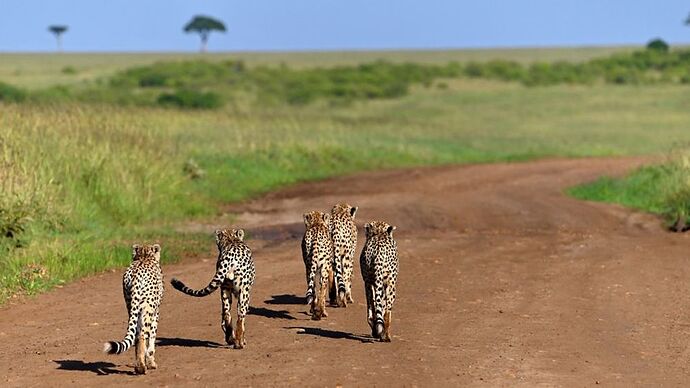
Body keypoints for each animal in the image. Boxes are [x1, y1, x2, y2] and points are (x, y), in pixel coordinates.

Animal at [103, 244, 163, 374]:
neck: (144, 256)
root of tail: (135, 274)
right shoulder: (156, 312)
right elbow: (152, 338)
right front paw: (151, 363)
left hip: (131, 306)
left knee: (136, 334)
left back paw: (138, 365)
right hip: (147, 308)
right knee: (141, 335)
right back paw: (141, 368)